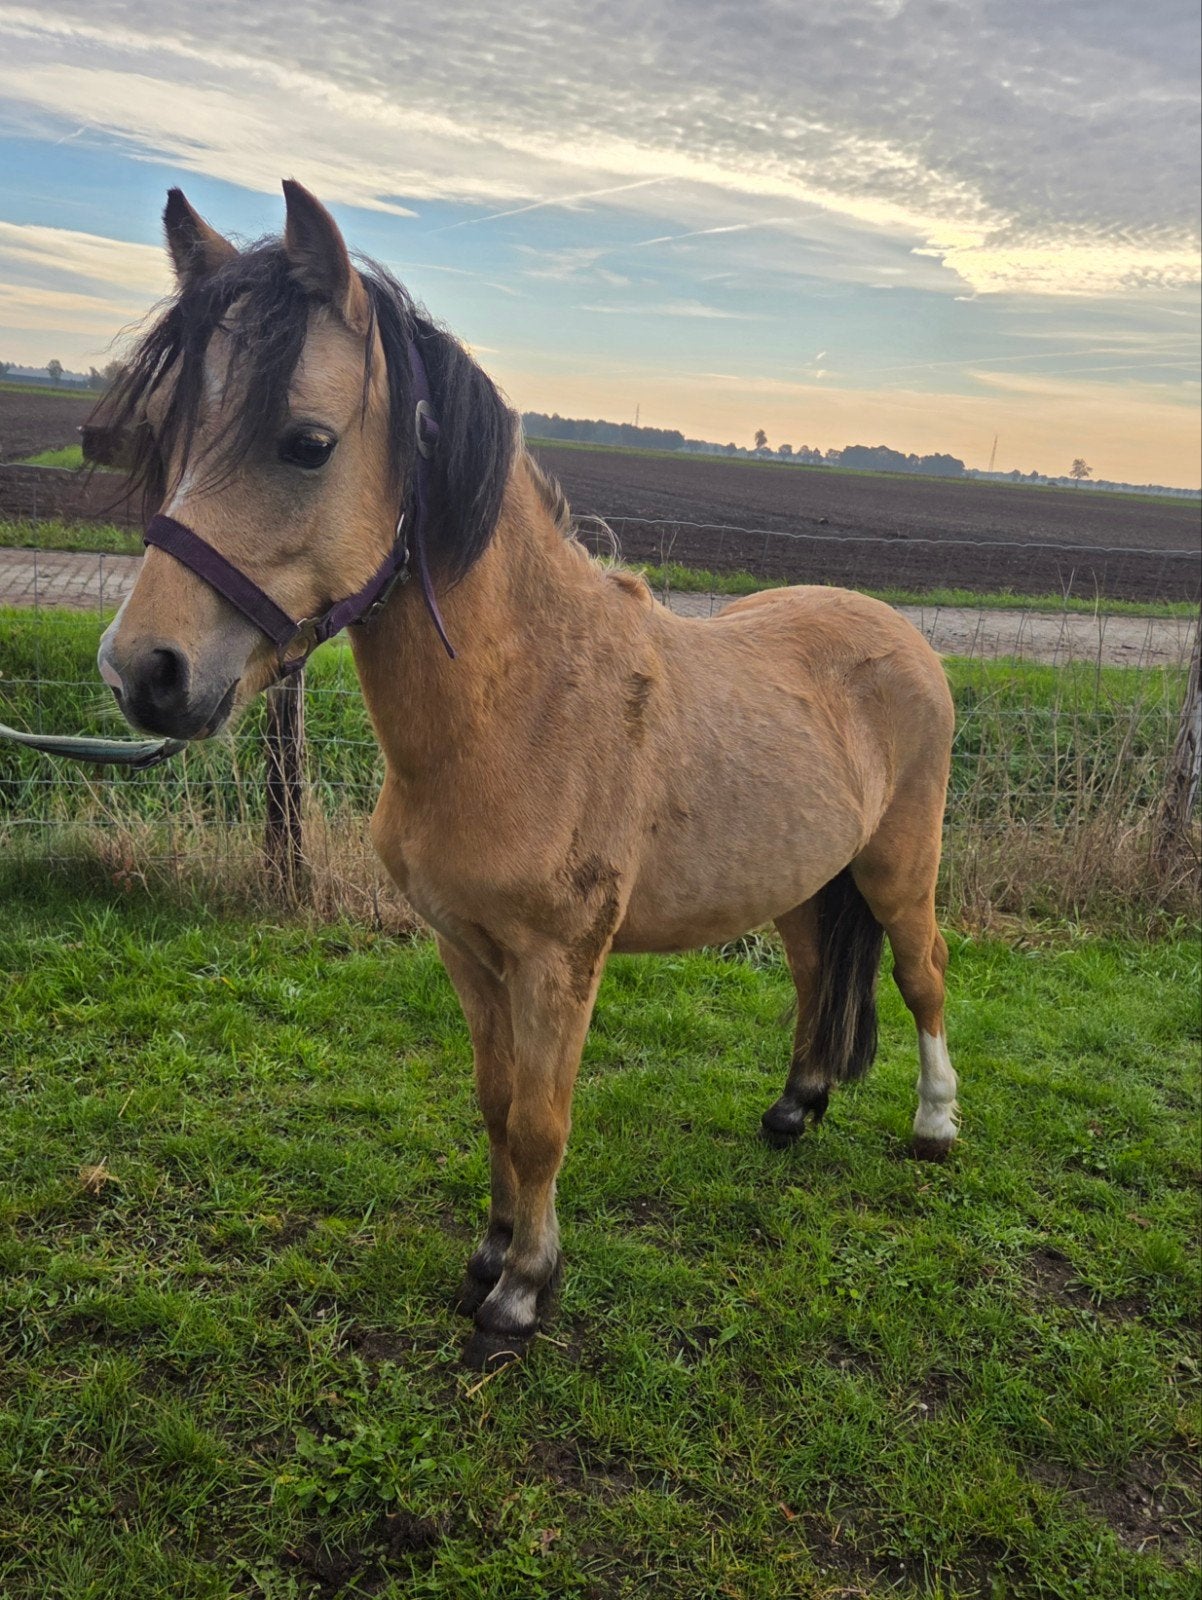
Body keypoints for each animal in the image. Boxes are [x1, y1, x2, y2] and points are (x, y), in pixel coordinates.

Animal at [93, 181, 959, 1369]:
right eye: (169, 436)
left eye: (306, 444)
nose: (145, 671)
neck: (520, 711)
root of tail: (901, 634)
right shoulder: (467, 950)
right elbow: (496, 1102)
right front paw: (489, 1255)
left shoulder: (557, 960)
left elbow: (543, 1121)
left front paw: (522, 1294)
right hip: (800, 882)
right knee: (815, 972)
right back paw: (795, 1108)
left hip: (897, 868)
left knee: (923, 974)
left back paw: (934, 1125)